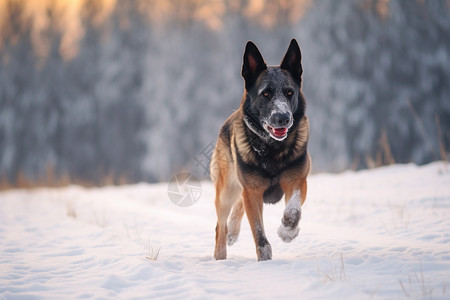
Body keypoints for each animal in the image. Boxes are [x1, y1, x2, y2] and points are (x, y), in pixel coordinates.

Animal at [210, 39, 310, 260]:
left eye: (289, 92)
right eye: (266, 93)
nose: (283, 118)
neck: (271, 149)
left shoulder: (297, 181)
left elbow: (294, 210)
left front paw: (288, 231)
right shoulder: (253, 191)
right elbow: (258, 232)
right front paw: (264, 258)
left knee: (238, 206)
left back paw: (233, 231)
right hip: (226, 191)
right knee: (221, 224)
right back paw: (220, 255)